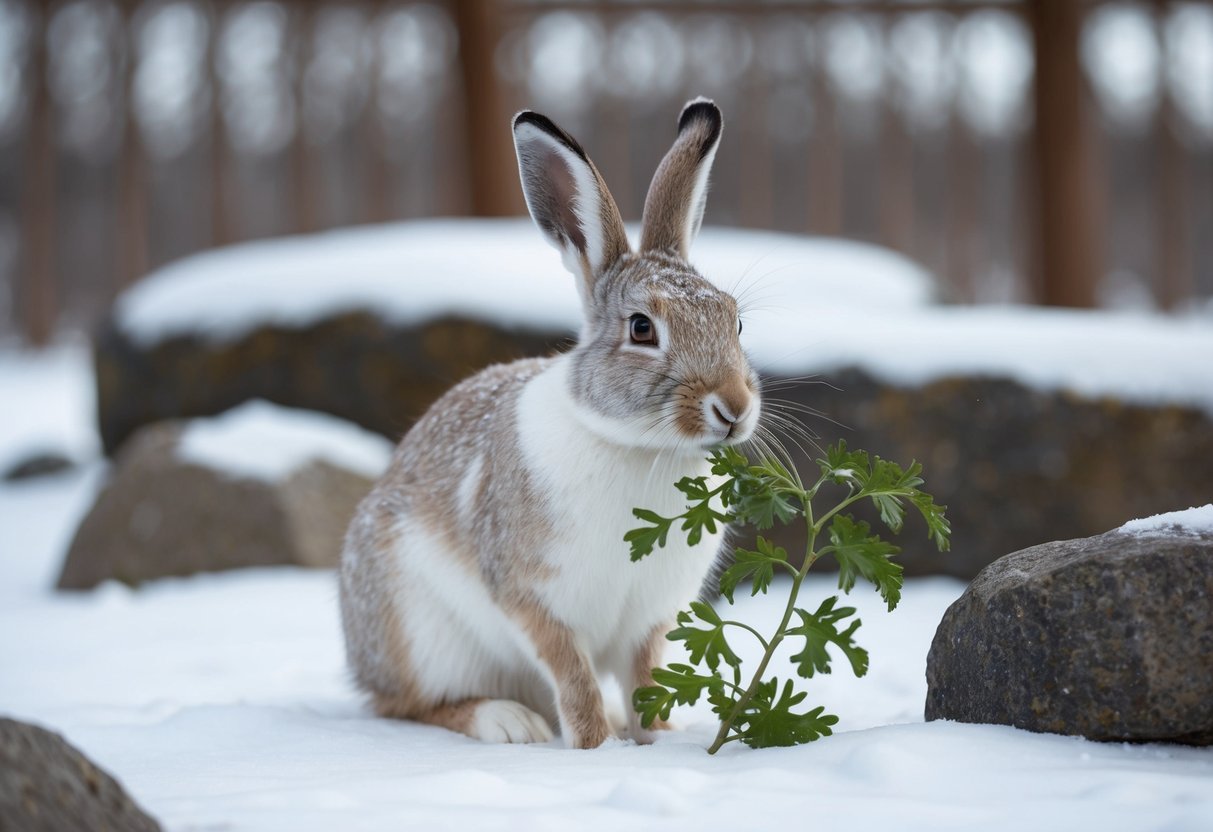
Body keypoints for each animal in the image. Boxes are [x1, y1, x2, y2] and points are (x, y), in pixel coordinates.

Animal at [338, 97, 761, 749]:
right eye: (642, 329)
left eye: (734, 321)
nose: (734, 407)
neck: (638, 447)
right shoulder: (535, 602)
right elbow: (574, 679)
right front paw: (594, 748)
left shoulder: (650, 619)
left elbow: (646, 680)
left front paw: (658, 739)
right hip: (420, 632)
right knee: (409, 704)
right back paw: (508, 723)